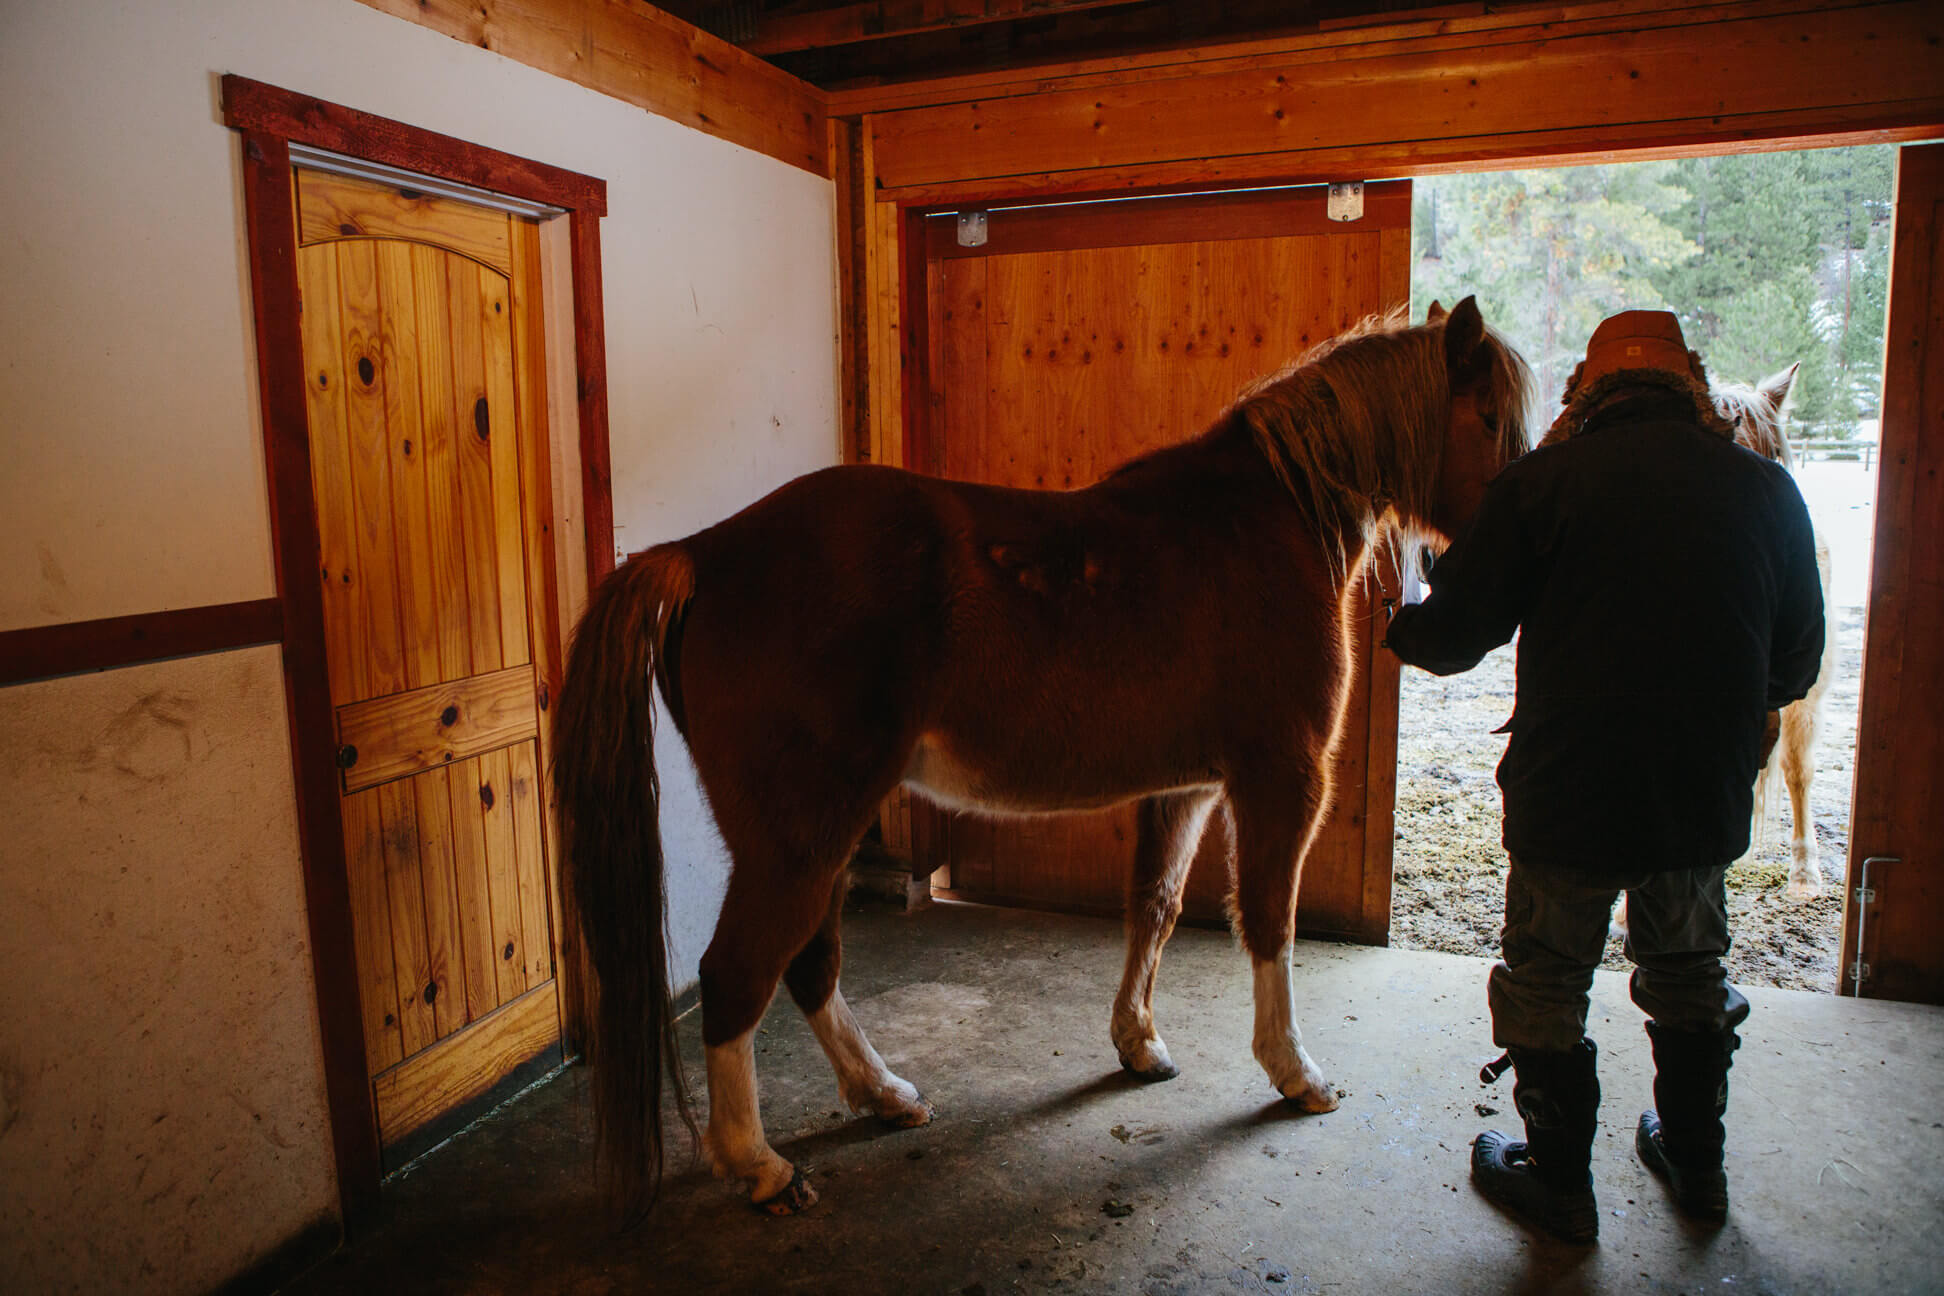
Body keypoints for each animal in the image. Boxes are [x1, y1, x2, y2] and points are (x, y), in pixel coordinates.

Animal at [555, 299, 1539, 1220]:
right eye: (1489, 415)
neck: (1261, 521)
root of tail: (703, 552)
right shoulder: (1283, 779)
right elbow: (1269, 923)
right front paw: (1294, 1072)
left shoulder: (1187, 787)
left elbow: (1156, 906)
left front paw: (1139, 1043)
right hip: (801, 835)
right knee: (738, 975)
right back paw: (759, 1166)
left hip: (817, 833)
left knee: (807, 964)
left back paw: (882, 1094)